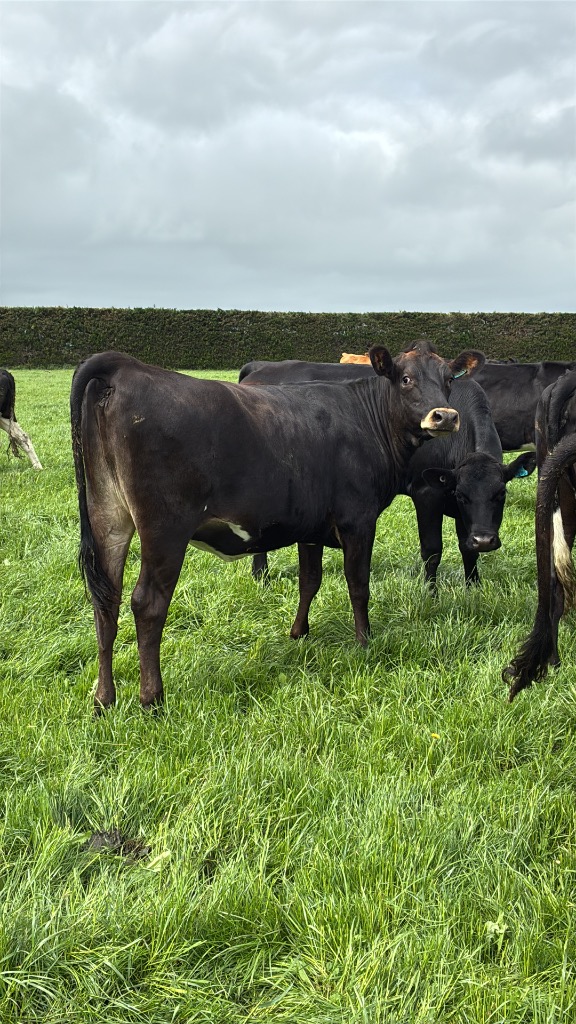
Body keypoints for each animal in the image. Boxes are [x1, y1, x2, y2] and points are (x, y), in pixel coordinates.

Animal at [70, 341, 483, 711]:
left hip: (108, 516)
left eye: (448, 379)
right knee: (148, 603)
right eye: (407, 378)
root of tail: (127, 367)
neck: (366, 420)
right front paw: (364, 642)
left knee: (105, 600)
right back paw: (152, 699)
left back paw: (103, 699)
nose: (445, 416)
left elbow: (309, 581)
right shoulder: (358, 520)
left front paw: (298, 634)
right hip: (164, 529)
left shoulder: (312, 525)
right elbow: (358, 585)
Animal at [402, 377, 536, 588]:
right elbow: (432, 551)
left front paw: (473, 587)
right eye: (460, 494)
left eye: (501, 493)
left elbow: (468, 549)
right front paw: (430, 591)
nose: (484, 540)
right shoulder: (425, 495)